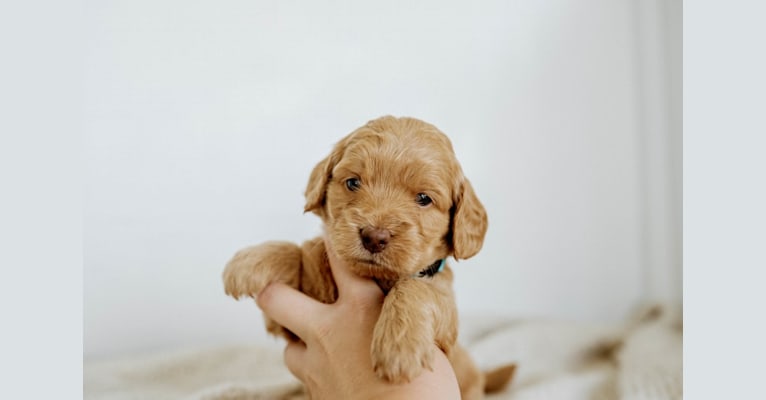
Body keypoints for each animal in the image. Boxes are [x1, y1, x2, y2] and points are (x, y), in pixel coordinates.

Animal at [226, 116, 516, 400]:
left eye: (424, 198)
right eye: (353, 183)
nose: (374, 237)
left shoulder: (447, 317)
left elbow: (415, 287)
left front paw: (398, 347)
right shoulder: (289, 327)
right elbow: (300, 253)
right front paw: (249, 262)